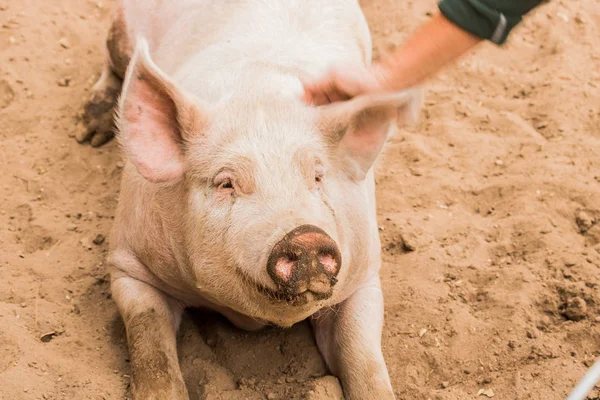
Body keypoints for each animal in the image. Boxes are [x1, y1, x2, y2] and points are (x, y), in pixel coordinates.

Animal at [83, 0, 422, 400]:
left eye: (318, 176)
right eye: (226, 183)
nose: (306, 236)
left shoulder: (364, 275)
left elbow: (364, 361)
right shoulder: (129, 263)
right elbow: (151, 348)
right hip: (122, 27)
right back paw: (90, 133)